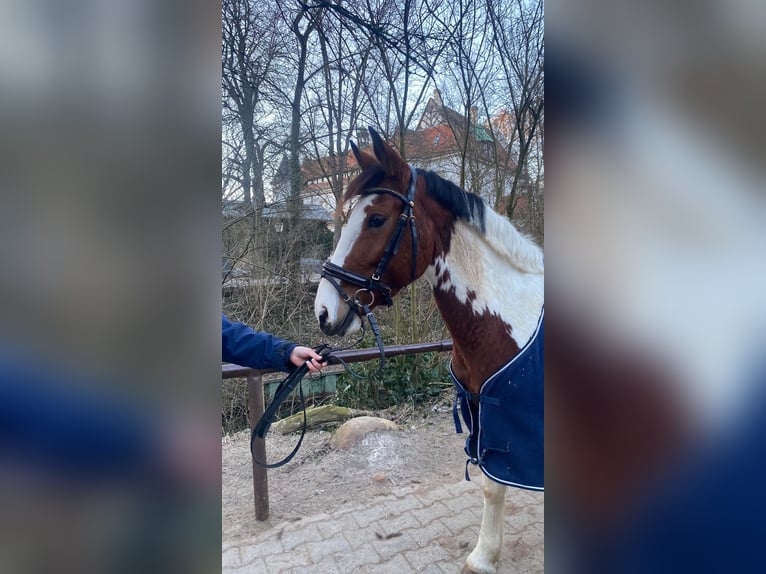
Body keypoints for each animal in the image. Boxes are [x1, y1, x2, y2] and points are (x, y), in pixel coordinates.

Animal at [314, 127, 544, 574]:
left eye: (376, 218)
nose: (324, 311)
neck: (510, 320)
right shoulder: (482, 413)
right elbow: (491, 485)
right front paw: (484, 556)